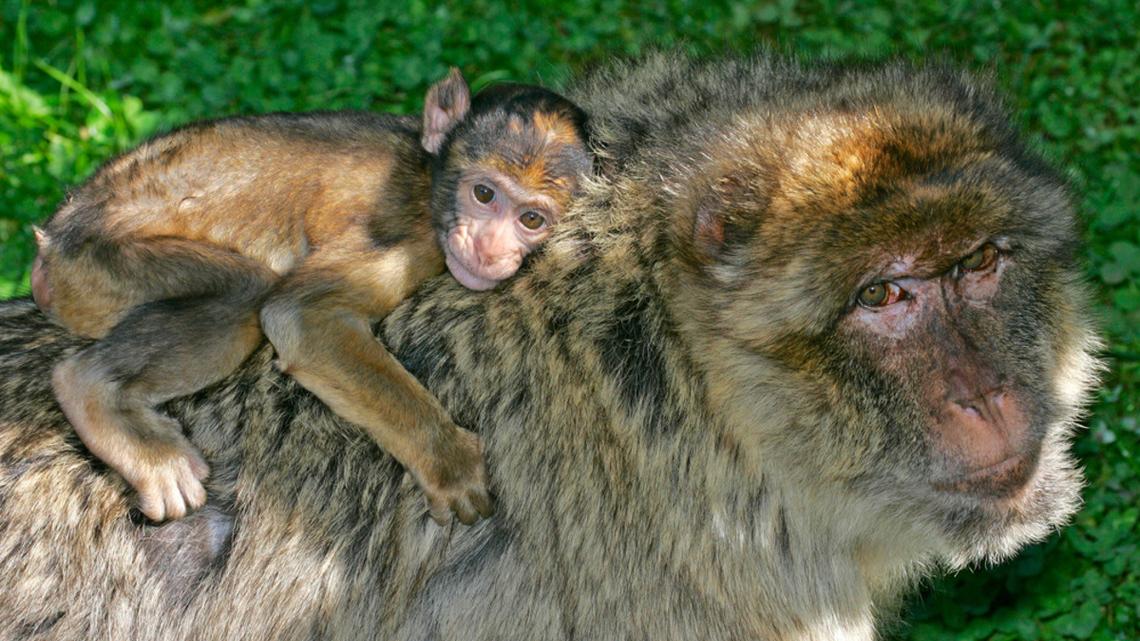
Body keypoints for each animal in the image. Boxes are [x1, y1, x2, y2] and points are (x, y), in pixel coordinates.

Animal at [27, 68, 593, 525]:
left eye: (531, 219)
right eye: (483, 194)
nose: (488, 247)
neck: (427, 177)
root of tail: (51, 242)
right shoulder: (410, 234)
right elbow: (299, 314)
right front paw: (446, 460)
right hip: (97, 258)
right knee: (244, 295)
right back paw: (92, 392)